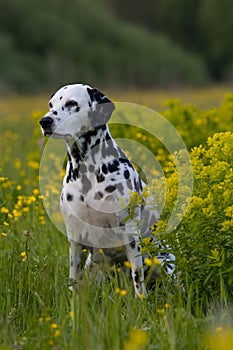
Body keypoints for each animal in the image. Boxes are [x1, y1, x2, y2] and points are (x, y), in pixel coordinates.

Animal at [39, 83, 175, 296]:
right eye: (51, 104)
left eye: (71, 103)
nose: (44, 121)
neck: (86, 172)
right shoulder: (75, 238)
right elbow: (73, 278)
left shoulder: (129, 234)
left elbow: (137, 277)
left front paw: (141, 300)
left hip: (162, 262)